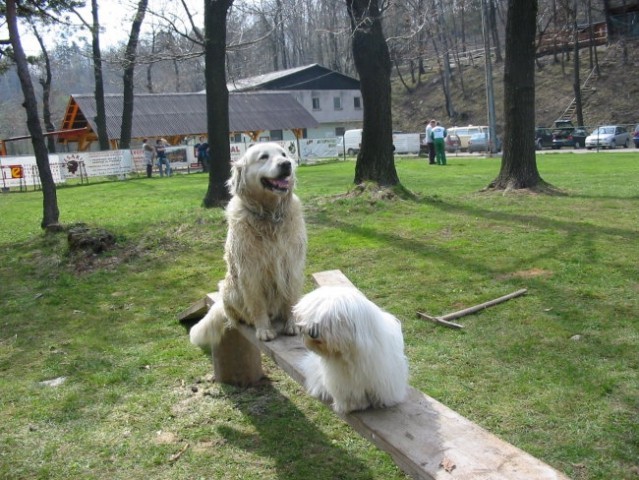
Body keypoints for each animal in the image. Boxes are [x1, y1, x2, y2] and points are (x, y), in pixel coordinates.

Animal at [190, 141, 308, 350]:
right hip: (229, 288)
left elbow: (291, 299)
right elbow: (257, 303)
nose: (286, 164)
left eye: (284, 154)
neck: (269, 215)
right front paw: (264, 329)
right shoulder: (250, 270)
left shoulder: (291, 265)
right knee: (236, 314)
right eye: (263, 157)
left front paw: (292, 324)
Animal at [296, 284, 410, 412]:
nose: (311, 332)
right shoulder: (342, 381)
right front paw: (352, 405)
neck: (348, 353)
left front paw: (382, 401)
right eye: (311, 316)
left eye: (329, 319)